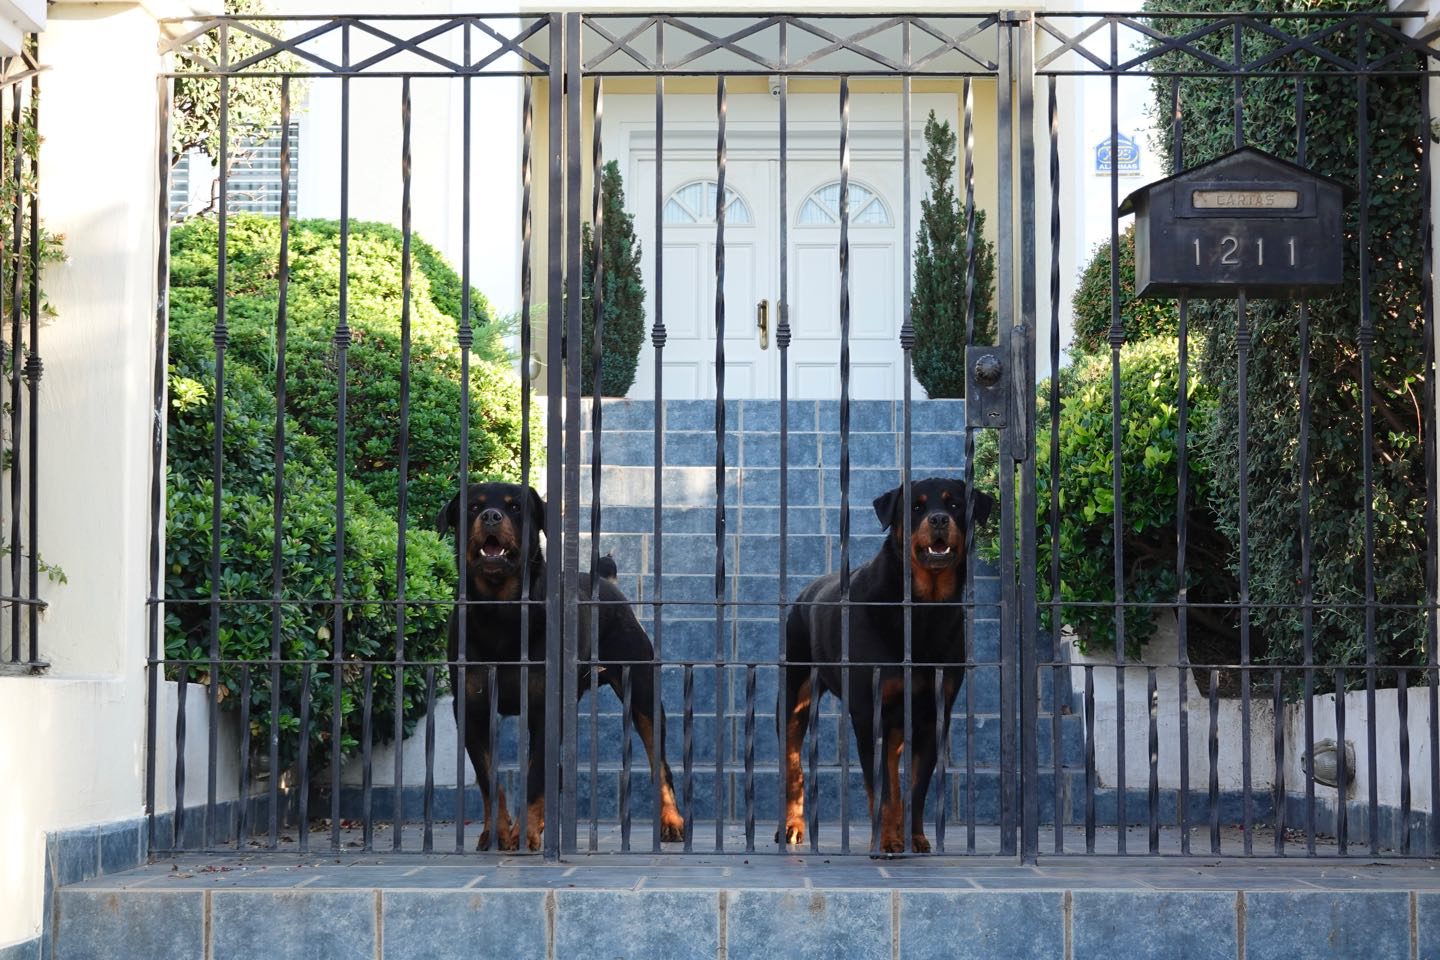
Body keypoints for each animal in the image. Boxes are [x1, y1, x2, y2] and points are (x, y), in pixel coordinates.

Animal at [437, 483, 685, 852]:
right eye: (473, 507)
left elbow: (536, 774)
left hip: (642, 690)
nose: (492, 516)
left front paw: (524, 834)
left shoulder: (545, 707)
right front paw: (496, 833)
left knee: (660, 764)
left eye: (515, 507)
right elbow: (488, 778)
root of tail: (606, 580)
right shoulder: (472, 708)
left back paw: (671, 822)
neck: (501, 612)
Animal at [783, 477, 996, 852]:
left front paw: (914, 837)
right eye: (915, 506)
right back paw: (794, 825)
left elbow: (915, 787)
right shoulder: (869, 711)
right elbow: (879, 786)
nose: (938, 519)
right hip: (798, 690)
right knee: (793, 760)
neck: (923, 611)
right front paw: (885, 840)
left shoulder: (933, 715)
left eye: (955, 504)